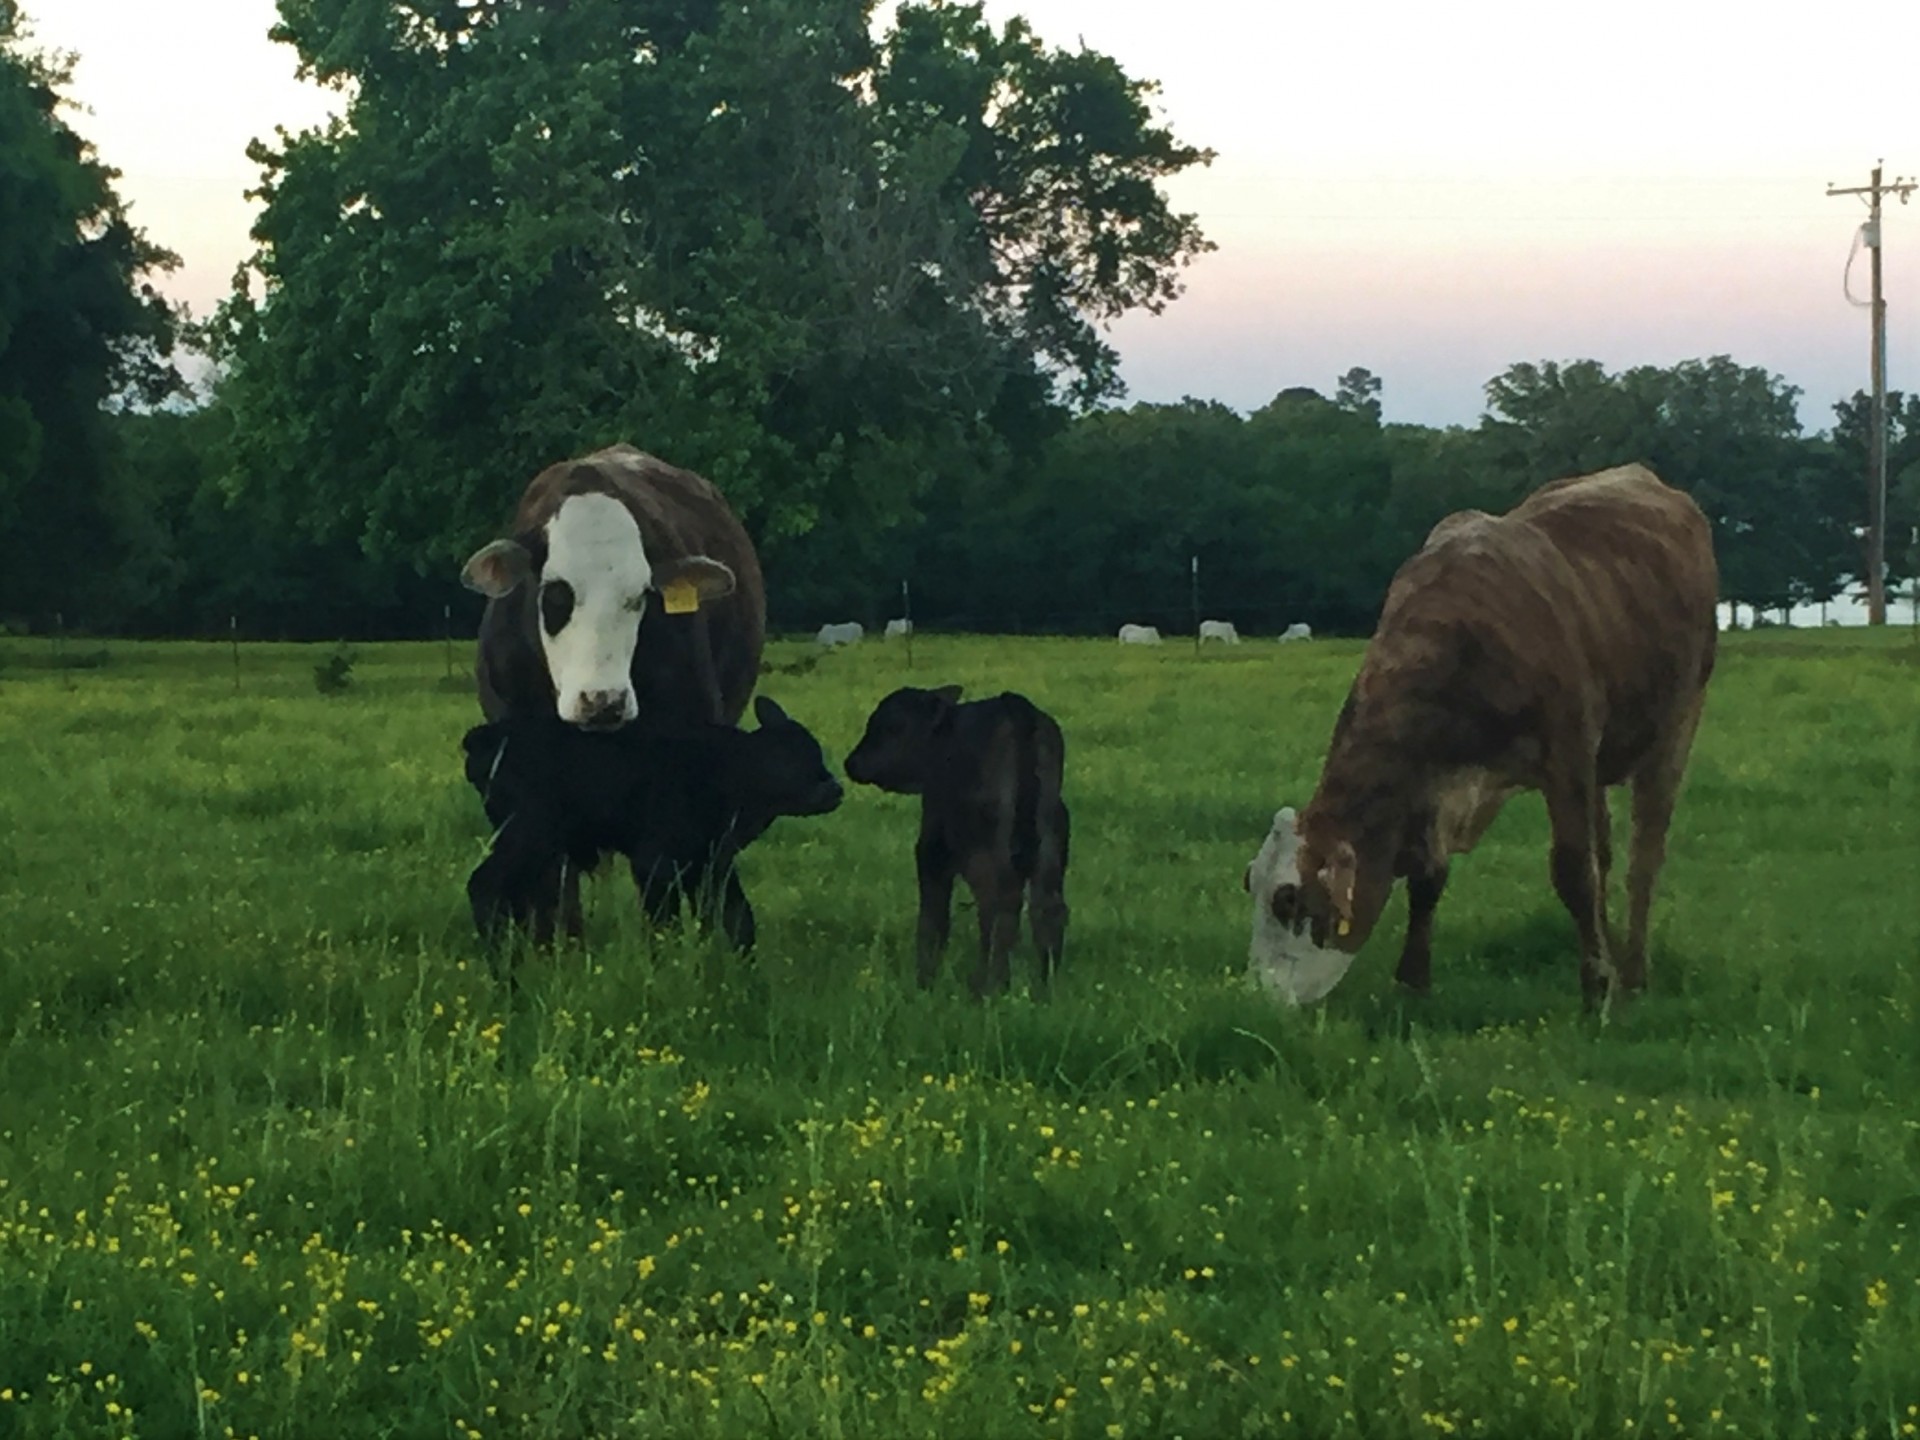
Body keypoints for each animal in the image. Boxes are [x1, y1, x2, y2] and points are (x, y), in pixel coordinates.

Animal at [462, 696, 843, 954]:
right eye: (790, 759)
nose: (835, 789)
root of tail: (483, 737)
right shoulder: (654, 861)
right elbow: (665, 922)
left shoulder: (711, 862)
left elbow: (736, 917)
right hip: (527, 833)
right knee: (484, 886)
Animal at [844, 686, 1070, 999]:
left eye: (892, 726)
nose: (851, 762)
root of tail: (1015, 706)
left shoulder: (931, 847)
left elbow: (934, 914)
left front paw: (924, 980)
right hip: (1049, 844)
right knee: (1047, 907)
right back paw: (1046, 984)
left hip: (986, 853)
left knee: (998, 907)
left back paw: (990, 985)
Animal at [1268, 464, 1718, 1009]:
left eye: (1290, 904)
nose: (1267, 998)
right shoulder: (1430, 782)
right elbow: (1429, 875)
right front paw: (1413, 980)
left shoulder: (1567, 753)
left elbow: (1573, 871)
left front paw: (1595, 989)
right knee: (1607, 855)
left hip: (1677, 722)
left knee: (1643, 855)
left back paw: (1632, 974)